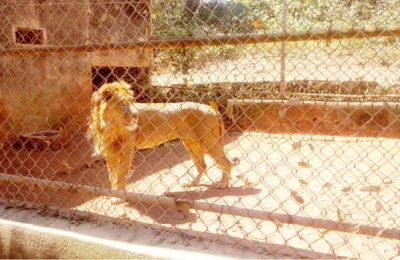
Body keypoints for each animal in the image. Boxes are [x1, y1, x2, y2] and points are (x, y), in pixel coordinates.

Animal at [87, 82, 238, 193]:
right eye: (122, 103)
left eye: (131, 102)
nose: (136, 116)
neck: (107, 125)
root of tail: (214, 110)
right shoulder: (110, 151)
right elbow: (112, 175)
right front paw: (114, 193)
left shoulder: (126, 150)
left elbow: (120, 175)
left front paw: (119, 196)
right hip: (191, 143)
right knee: (202, 166)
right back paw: (192, 183)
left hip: (208, 142)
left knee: (226, 162)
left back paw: (223, 184)